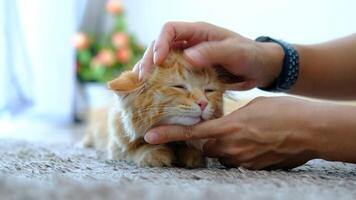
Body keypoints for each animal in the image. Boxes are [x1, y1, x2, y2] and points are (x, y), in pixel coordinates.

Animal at [84, 51, 236, 167]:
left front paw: (192, 156)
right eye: (179, 87)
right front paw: (154, 154)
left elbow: (193, 150)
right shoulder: (117, 145)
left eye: (209, 90)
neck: (172, 143)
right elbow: (135, 149)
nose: (203, 103)